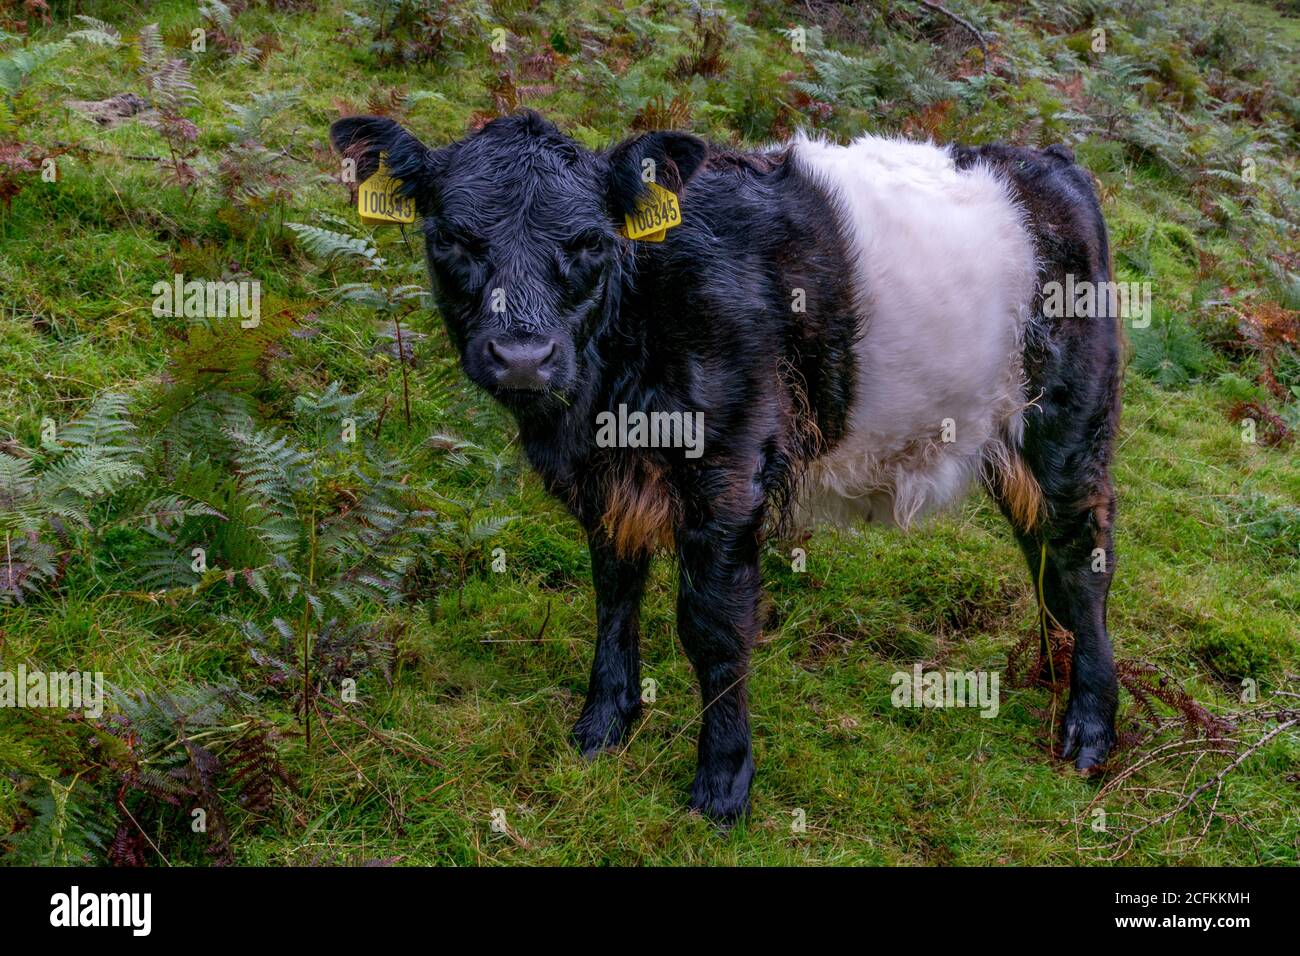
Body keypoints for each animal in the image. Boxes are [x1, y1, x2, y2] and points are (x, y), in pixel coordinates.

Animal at [329, 110, 1122, 822]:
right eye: (451, 239)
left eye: (589, 242)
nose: (523, 357)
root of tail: (1044, 160)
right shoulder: (607, 480)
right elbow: (614, 593)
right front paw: (603, 725)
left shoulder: (731, 473)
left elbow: (712, 625)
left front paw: (722, 784)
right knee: (1043, 550)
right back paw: (1052, 669)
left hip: (1068, 421)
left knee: (1082, 556)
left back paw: (1089, 726)